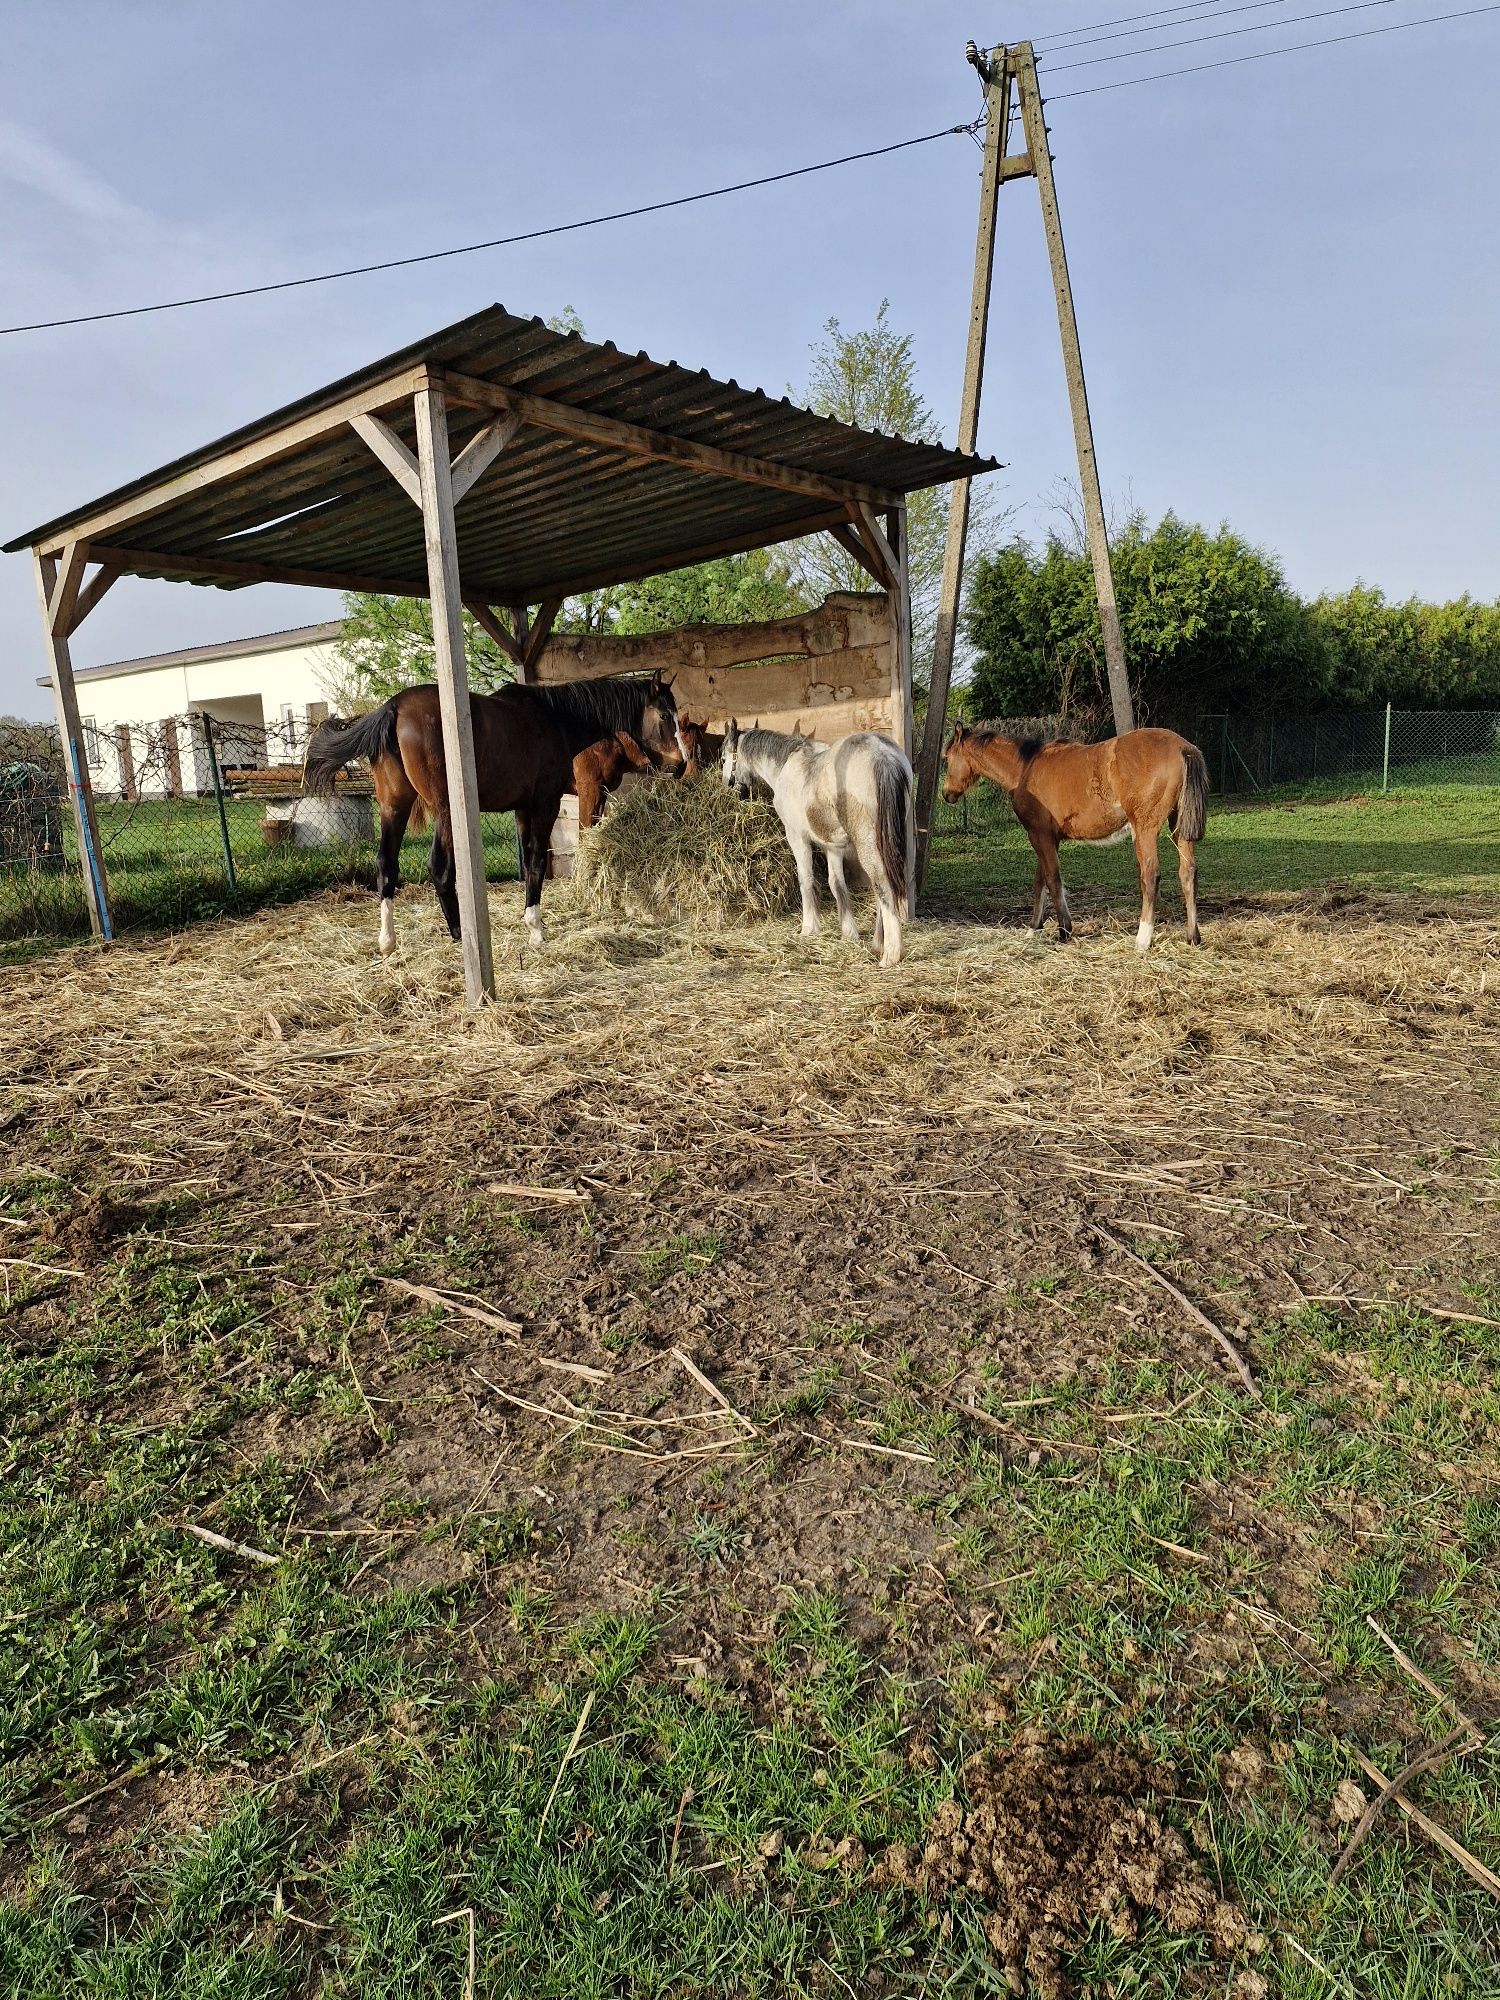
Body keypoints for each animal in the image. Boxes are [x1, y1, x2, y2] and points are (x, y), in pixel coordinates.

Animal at [310, 676, 680, 948]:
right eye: (665, 716)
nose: (680, 765)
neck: (555, 720)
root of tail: (394, 708)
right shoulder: (547, 804)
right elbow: (538, 860)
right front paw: (536, 929)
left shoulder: (522, 809)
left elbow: (529, 862)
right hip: (446, 811)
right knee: (440, 869)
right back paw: (460, 936)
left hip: (393, 807)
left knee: (386, 865)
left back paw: (388, 941)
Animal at [720, 724, 916, 972]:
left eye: (723, 758)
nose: (728, 789)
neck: (786, 765)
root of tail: (883, 755)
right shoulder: (832, 846)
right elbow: (837, 884)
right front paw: (848, 932)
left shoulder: (797, 836)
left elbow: (806, 879)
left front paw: (809, 928)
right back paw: (877, 944)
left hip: (868, 843)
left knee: (883, 887)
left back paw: (890, 953)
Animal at [944, 728, 1216, 952]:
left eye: (947, 758)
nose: (947, 794)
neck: (1025, 768)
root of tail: (1183, 747)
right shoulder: (1046, 838)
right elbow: (1040, 881)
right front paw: (1034, 928)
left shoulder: (1039, 835)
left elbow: (1053, 880)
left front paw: (1064, 930)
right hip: (1179, 828)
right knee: (1188, 873)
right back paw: (1193, 937)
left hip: (1145, 828)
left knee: (1150, 875)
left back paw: (1142, 939)